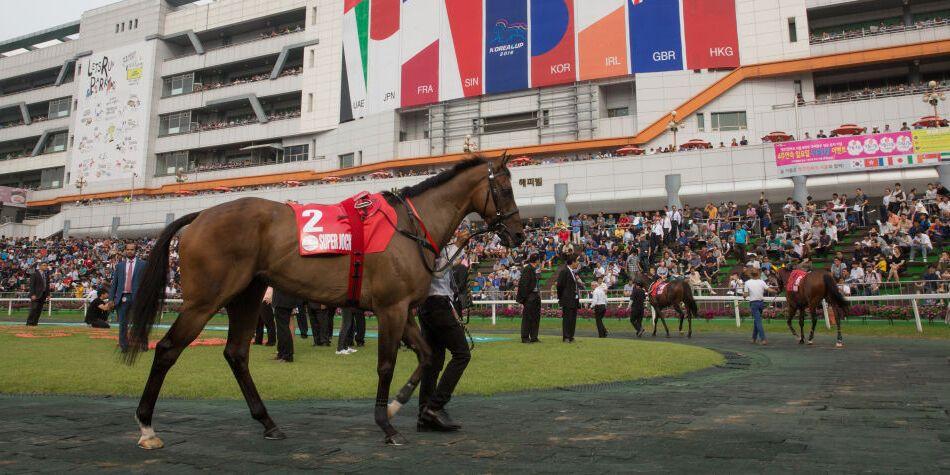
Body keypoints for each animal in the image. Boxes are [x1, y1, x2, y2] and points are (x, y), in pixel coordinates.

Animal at [122, 157, 524, 450]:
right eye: (505, 189)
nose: (519, 234)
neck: (408, 228)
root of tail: (200, 215)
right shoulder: (390, 308)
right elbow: (386, 365)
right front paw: (386, 424)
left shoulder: (404, 310)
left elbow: (426, 356)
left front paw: (399, 405)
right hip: (205, 300)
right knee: (168, 349)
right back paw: (146, 426)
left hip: (246, 295)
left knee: (236, 353)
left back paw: (268, 422)